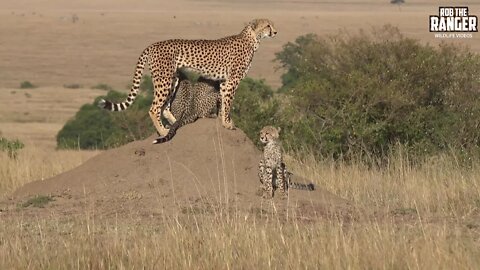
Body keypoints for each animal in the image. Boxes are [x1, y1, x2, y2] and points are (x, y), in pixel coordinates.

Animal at [98, 18, 278, 141]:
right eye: (267, 25)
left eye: (272, 25)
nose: (276, 32)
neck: (252, 38)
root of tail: (153, 45)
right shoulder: (232, 80)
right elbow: (228, 103)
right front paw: (227, 124)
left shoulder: (224, 81)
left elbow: (223, 102)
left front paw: (224, 120)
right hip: (164, 79)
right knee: (154, 108)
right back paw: (163, 131)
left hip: (173, 79)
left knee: (165, 107)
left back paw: (176, 123)